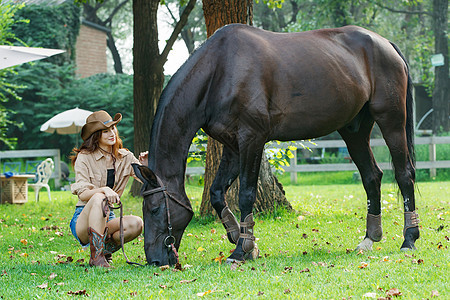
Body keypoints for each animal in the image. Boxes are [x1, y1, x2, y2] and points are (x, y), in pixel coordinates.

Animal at [133, 24, 418, 264]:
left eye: (155, 209)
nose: (154, 260)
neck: (220, 71)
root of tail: (386, 44)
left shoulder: (252, 139)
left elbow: (246, 194)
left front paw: (241, 250)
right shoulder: (233, 146)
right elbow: (216, 191)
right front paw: (240, 237)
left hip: (391, 121)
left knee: (404, 175)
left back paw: (409, 239)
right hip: (354, 131)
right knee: (372, 176)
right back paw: (370, 238)